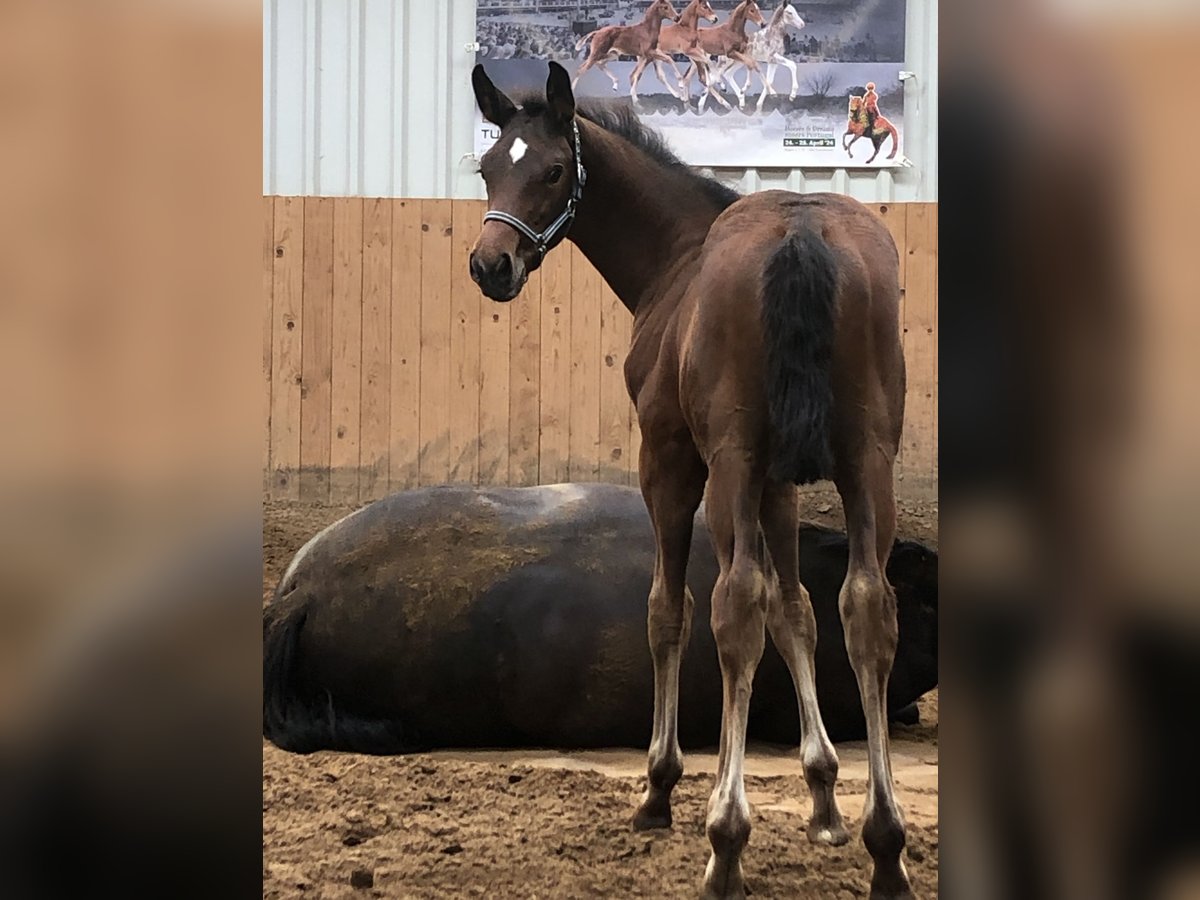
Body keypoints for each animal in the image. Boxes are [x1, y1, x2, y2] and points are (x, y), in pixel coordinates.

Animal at [465, 63, 907, 900]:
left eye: (553, 170)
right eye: (488, 168)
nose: (490, 266)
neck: (678, 257)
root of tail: (801, 230)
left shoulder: (670, 461)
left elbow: (669, 609)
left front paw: (659, 788)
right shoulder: (781, 483)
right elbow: (797, 610)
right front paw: (824, 797)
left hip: (729, 463)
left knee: (733, 607)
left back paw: (724, 841)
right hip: (869, 463)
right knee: (867, 607)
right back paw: (887, 845)